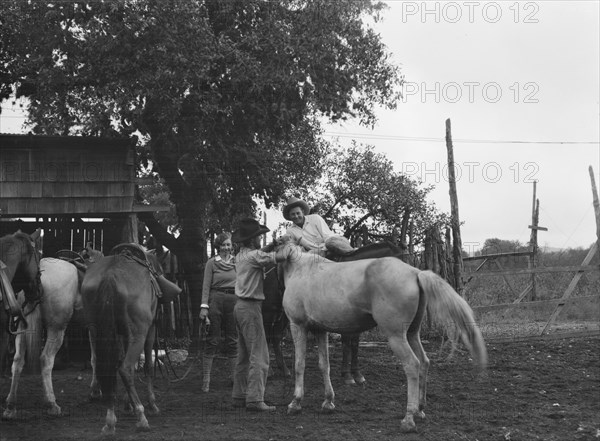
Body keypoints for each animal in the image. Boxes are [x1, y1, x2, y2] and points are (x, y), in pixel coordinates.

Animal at [276, 242, 488, 432]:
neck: (302, 270)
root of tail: (415, 273)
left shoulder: (298, 326)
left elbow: (299, 364)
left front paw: (295, 402)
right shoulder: (321, 330)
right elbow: (324, 365)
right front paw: (328, 401)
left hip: (396, 337)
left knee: (412, 365)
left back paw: (408, 418)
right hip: (411, 334)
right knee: (424, 362)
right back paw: (419, 409)